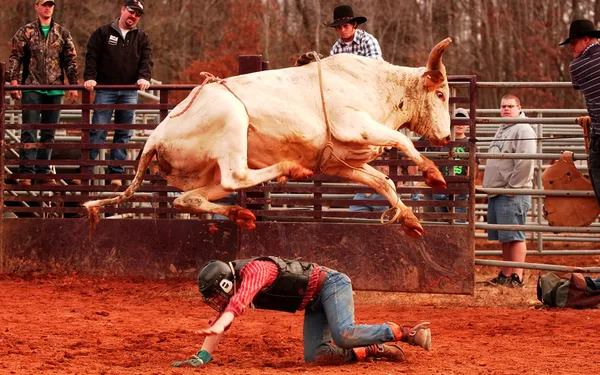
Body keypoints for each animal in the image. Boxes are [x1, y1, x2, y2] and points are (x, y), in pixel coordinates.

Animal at [82, 38, 452, 238]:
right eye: (441, 94)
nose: (446, 137)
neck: (378, 85)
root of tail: (154, 136)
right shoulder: (353, 124)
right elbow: (403, 142)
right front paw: (433, 174)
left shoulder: (342, 164)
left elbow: (383, 182)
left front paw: (409, 220)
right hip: (233, 119)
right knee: (237, 176)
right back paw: (290, 168)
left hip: (203, 174)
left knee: (189, 199)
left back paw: (241, 215)